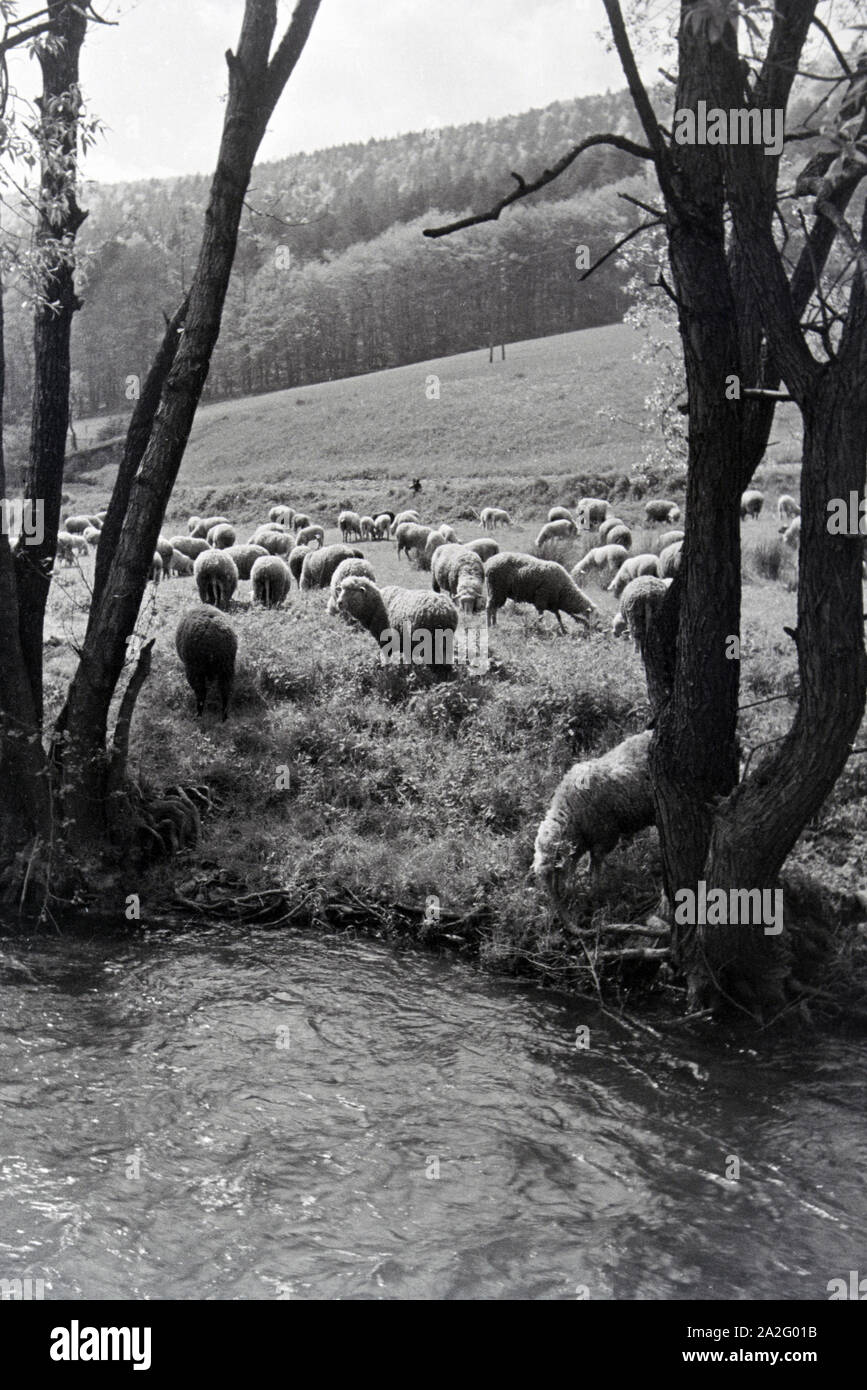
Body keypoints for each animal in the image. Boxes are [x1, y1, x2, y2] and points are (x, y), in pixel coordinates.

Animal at [333, 575, 461, 672]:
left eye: (352, 591)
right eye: (341, 590)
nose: (339, 603)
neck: (375, 605)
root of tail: (444, 610)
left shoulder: (384, 639)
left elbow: (387, 656)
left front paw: (387, 669)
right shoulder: (405, 641)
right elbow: (407, 657)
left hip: (429, 640)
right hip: (445, 639)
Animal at [530, 733, 653, 895]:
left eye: (557, 870)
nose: (557, 898)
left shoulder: (604, 834)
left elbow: (597, 859)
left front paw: (595, 885)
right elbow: (590, 858)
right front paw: (587, 872)